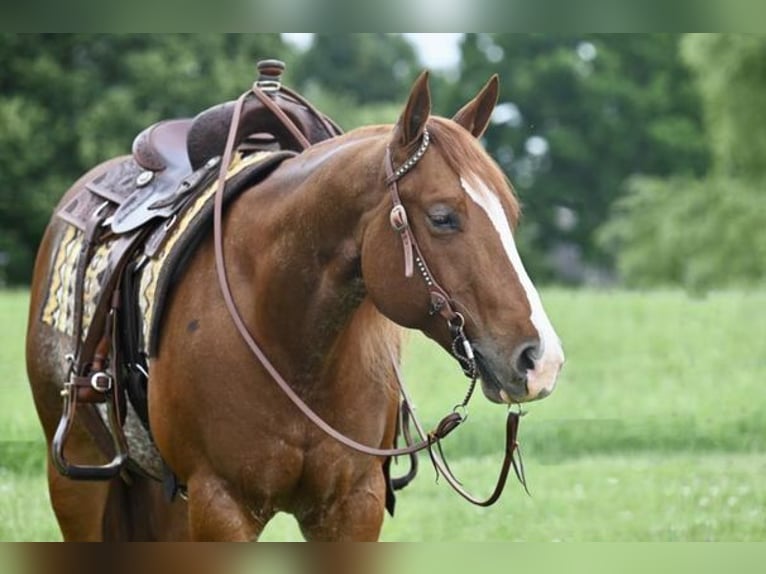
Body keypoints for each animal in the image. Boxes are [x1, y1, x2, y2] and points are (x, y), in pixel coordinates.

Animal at [25, 70, 564, 544]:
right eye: (442, 217)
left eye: (510, 215)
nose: (541, 360)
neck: (290, 338)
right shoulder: (221, 505)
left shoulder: (352, 506)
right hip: (76, 478)